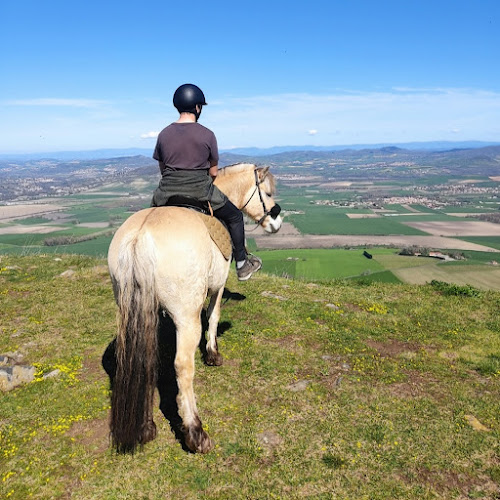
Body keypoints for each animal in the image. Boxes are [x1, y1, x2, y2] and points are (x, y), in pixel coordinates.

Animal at [107, 163, 284, 454]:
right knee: (183, 367)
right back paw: (195, 433)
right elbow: (213, 316)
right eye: (267, 193)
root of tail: (140, 237)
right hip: (186, 317)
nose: (276, 223)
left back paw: (145, 428)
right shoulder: (218, 285)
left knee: (143, 358)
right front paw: (212, 353)